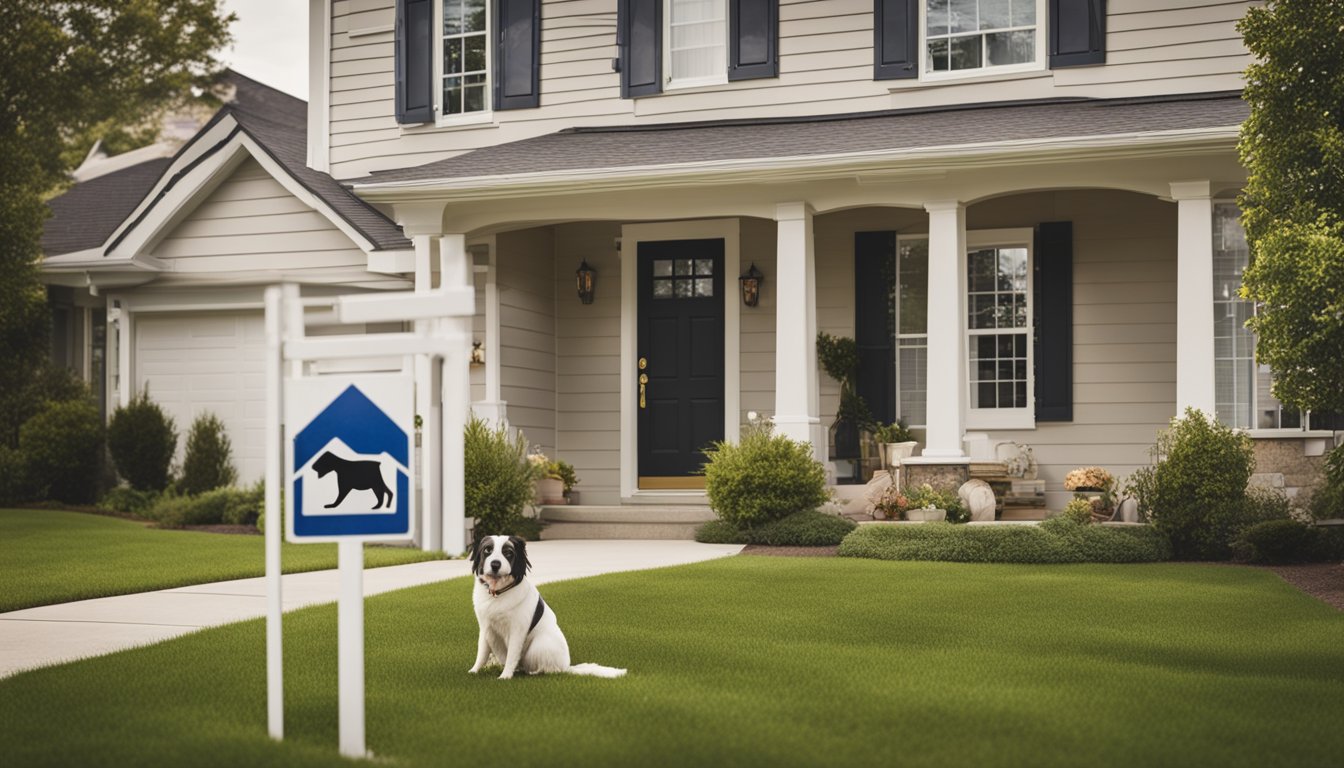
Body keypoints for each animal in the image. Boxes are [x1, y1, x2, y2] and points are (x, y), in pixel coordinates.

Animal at [467, 535, 623, 677]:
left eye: (508, 553)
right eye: (487, 550)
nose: (495, 564)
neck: (497, 593)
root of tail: (567, 666)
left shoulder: (517, 630)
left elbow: (512, 654)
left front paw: (505, 676)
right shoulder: (486, 627)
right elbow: (482, 653)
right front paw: (474, 671)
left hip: (539, 645)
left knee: (548, 668)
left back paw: (534, 672)